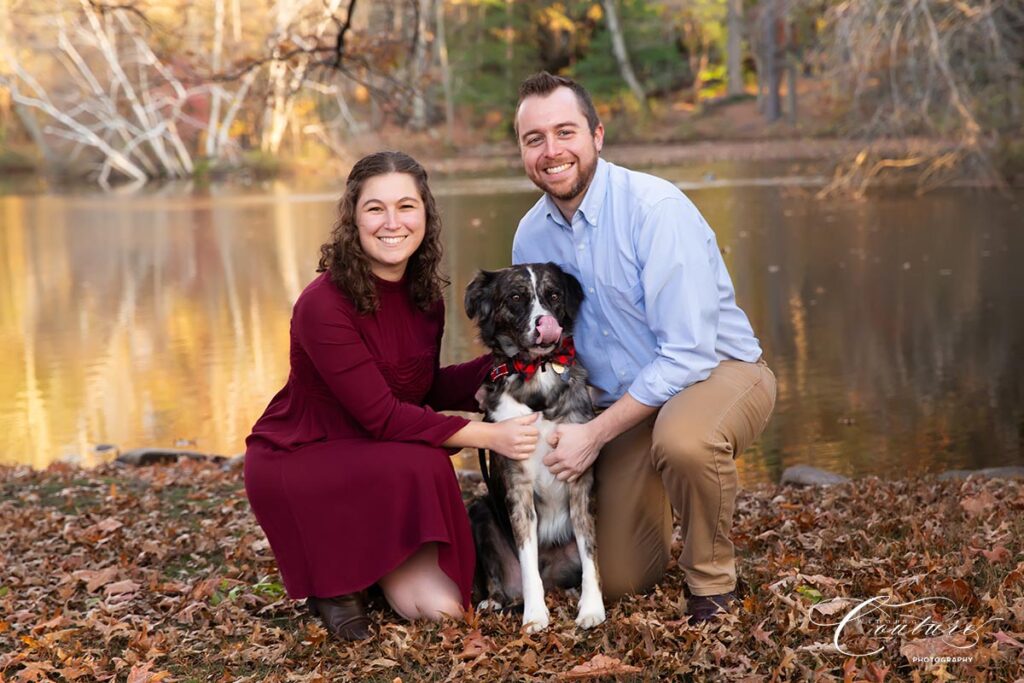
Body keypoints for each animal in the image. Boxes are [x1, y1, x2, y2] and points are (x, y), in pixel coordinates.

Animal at [462, 264, 598, 634]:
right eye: (515, 297)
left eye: (553, 295)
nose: (544, 322)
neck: (536, 372)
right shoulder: (518, 488)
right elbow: (527, 561)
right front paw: (535, 614)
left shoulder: (578, 477)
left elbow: (590, 552)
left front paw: (592, 607)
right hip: (480, 510)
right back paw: (494, 600)